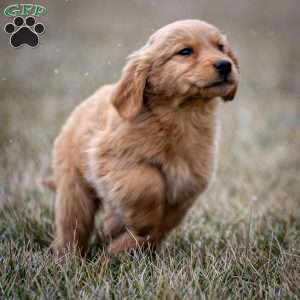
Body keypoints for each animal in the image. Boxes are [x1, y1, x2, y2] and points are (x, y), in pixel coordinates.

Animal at [49, 19, 239, 255]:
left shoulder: (190, 181)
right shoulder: (108, 159)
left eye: (221, 47)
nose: (225, 64)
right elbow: (147, 182)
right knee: (72, 227)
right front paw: (140, 226)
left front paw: (120, 246)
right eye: (185, 51)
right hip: (74, 188)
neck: (182, 116)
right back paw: (68, 257)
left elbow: (167, 220)